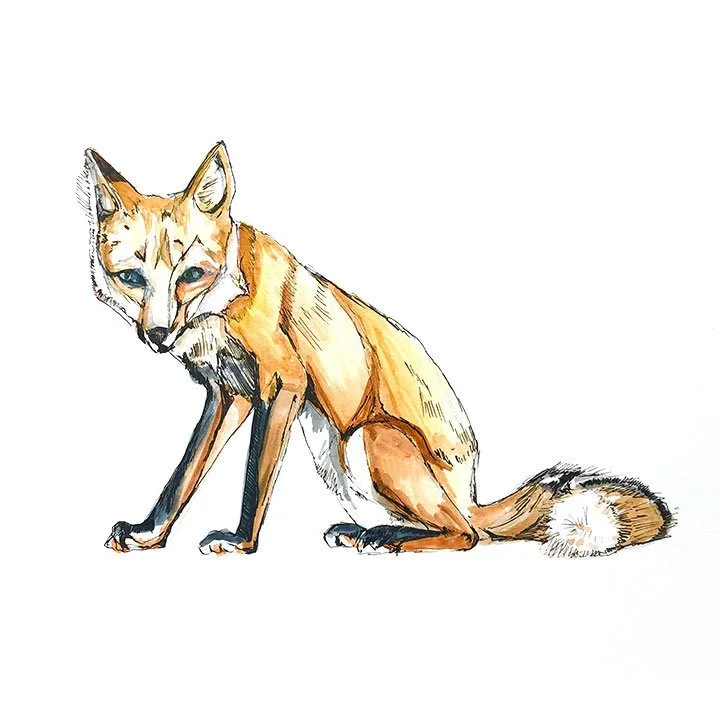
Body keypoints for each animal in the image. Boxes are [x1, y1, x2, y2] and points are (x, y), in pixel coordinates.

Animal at [80, 141, 673, 557]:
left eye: (191, 275)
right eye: (132, 278)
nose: (159, 335)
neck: (226, 301)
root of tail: (470, 488)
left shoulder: (284, 384)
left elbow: (254, 480)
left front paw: (241, 543)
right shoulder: (230, 394)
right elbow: (182, 477)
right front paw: (149, 535)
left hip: (369, 437)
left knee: (467, 535)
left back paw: (390, 541)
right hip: (337, 455)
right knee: (449, 526)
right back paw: (370, 531)